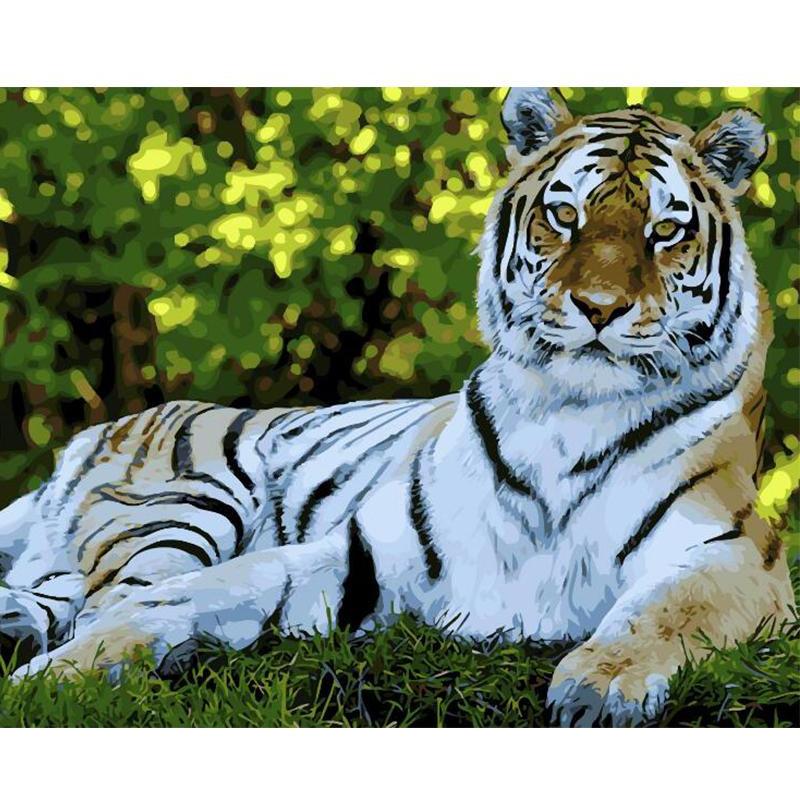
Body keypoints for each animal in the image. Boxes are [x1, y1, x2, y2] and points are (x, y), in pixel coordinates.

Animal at [0, 88, 793, 727]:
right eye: (565, 215)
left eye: (666, 230)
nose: (598, 308)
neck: (567, 418)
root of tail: (95, 431)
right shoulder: (363, 553)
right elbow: (197, 593)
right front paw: (60, 676)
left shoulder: (735, 554)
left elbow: (666, 613)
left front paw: (600, 687)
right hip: (186, 503)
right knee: (101, 595)